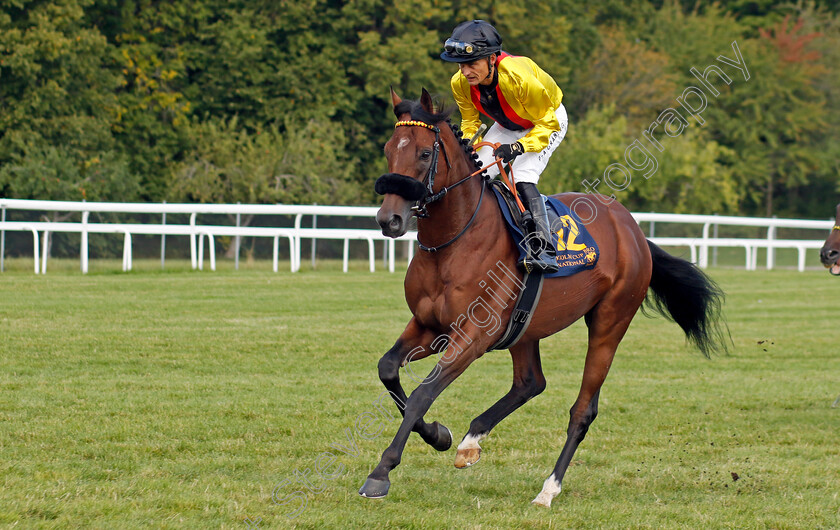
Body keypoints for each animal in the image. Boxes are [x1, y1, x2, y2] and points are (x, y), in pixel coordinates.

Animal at [360, 88, 728, 506]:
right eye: (389, 149)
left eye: (424, 153)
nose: (389, 219)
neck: (454, 242)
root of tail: (632, 228)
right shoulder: (428, 324)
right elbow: (389, 370)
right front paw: (440, 435)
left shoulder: (474, 334)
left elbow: (423, 393)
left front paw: (381, 471)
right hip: (525, 327)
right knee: (530, 382)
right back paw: (471, 441)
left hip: (610, 322)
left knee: (582, 410)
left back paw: (548, 488)